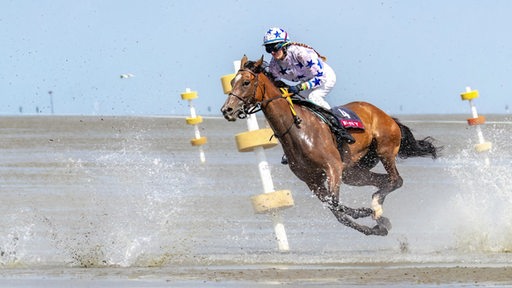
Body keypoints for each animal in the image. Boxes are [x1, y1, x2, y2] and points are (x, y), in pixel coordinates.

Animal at [221, 55, 440, 236]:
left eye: (246, 82)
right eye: (232, 82)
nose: (227, 110)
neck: (297, 131)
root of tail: (385, 115)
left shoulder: (333, 167)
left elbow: (335, 203)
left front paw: (366, 213)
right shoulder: (312, 180)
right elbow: (336, 210)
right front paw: (373, 223)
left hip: (384, 150)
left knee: (396, 180)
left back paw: (376, 206)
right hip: (354, 172)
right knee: (383, 181)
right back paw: (378, 213)